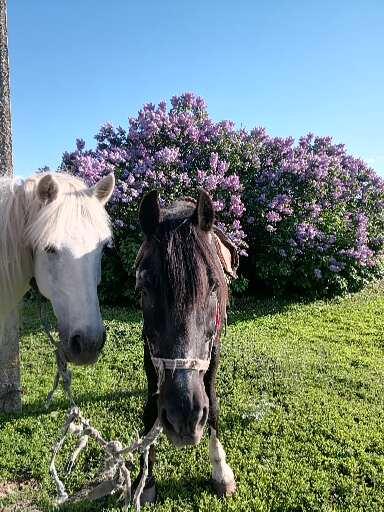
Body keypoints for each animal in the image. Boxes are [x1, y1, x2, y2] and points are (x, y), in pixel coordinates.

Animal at [134, 189, 237, 504]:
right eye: (144, 289)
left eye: (214, 287)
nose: (185, 415)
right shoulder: (150, 355)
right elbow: (150, 408)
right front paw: (145, 478)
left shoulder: (212, 354)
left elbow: (213, 402)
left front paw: (221, 470)